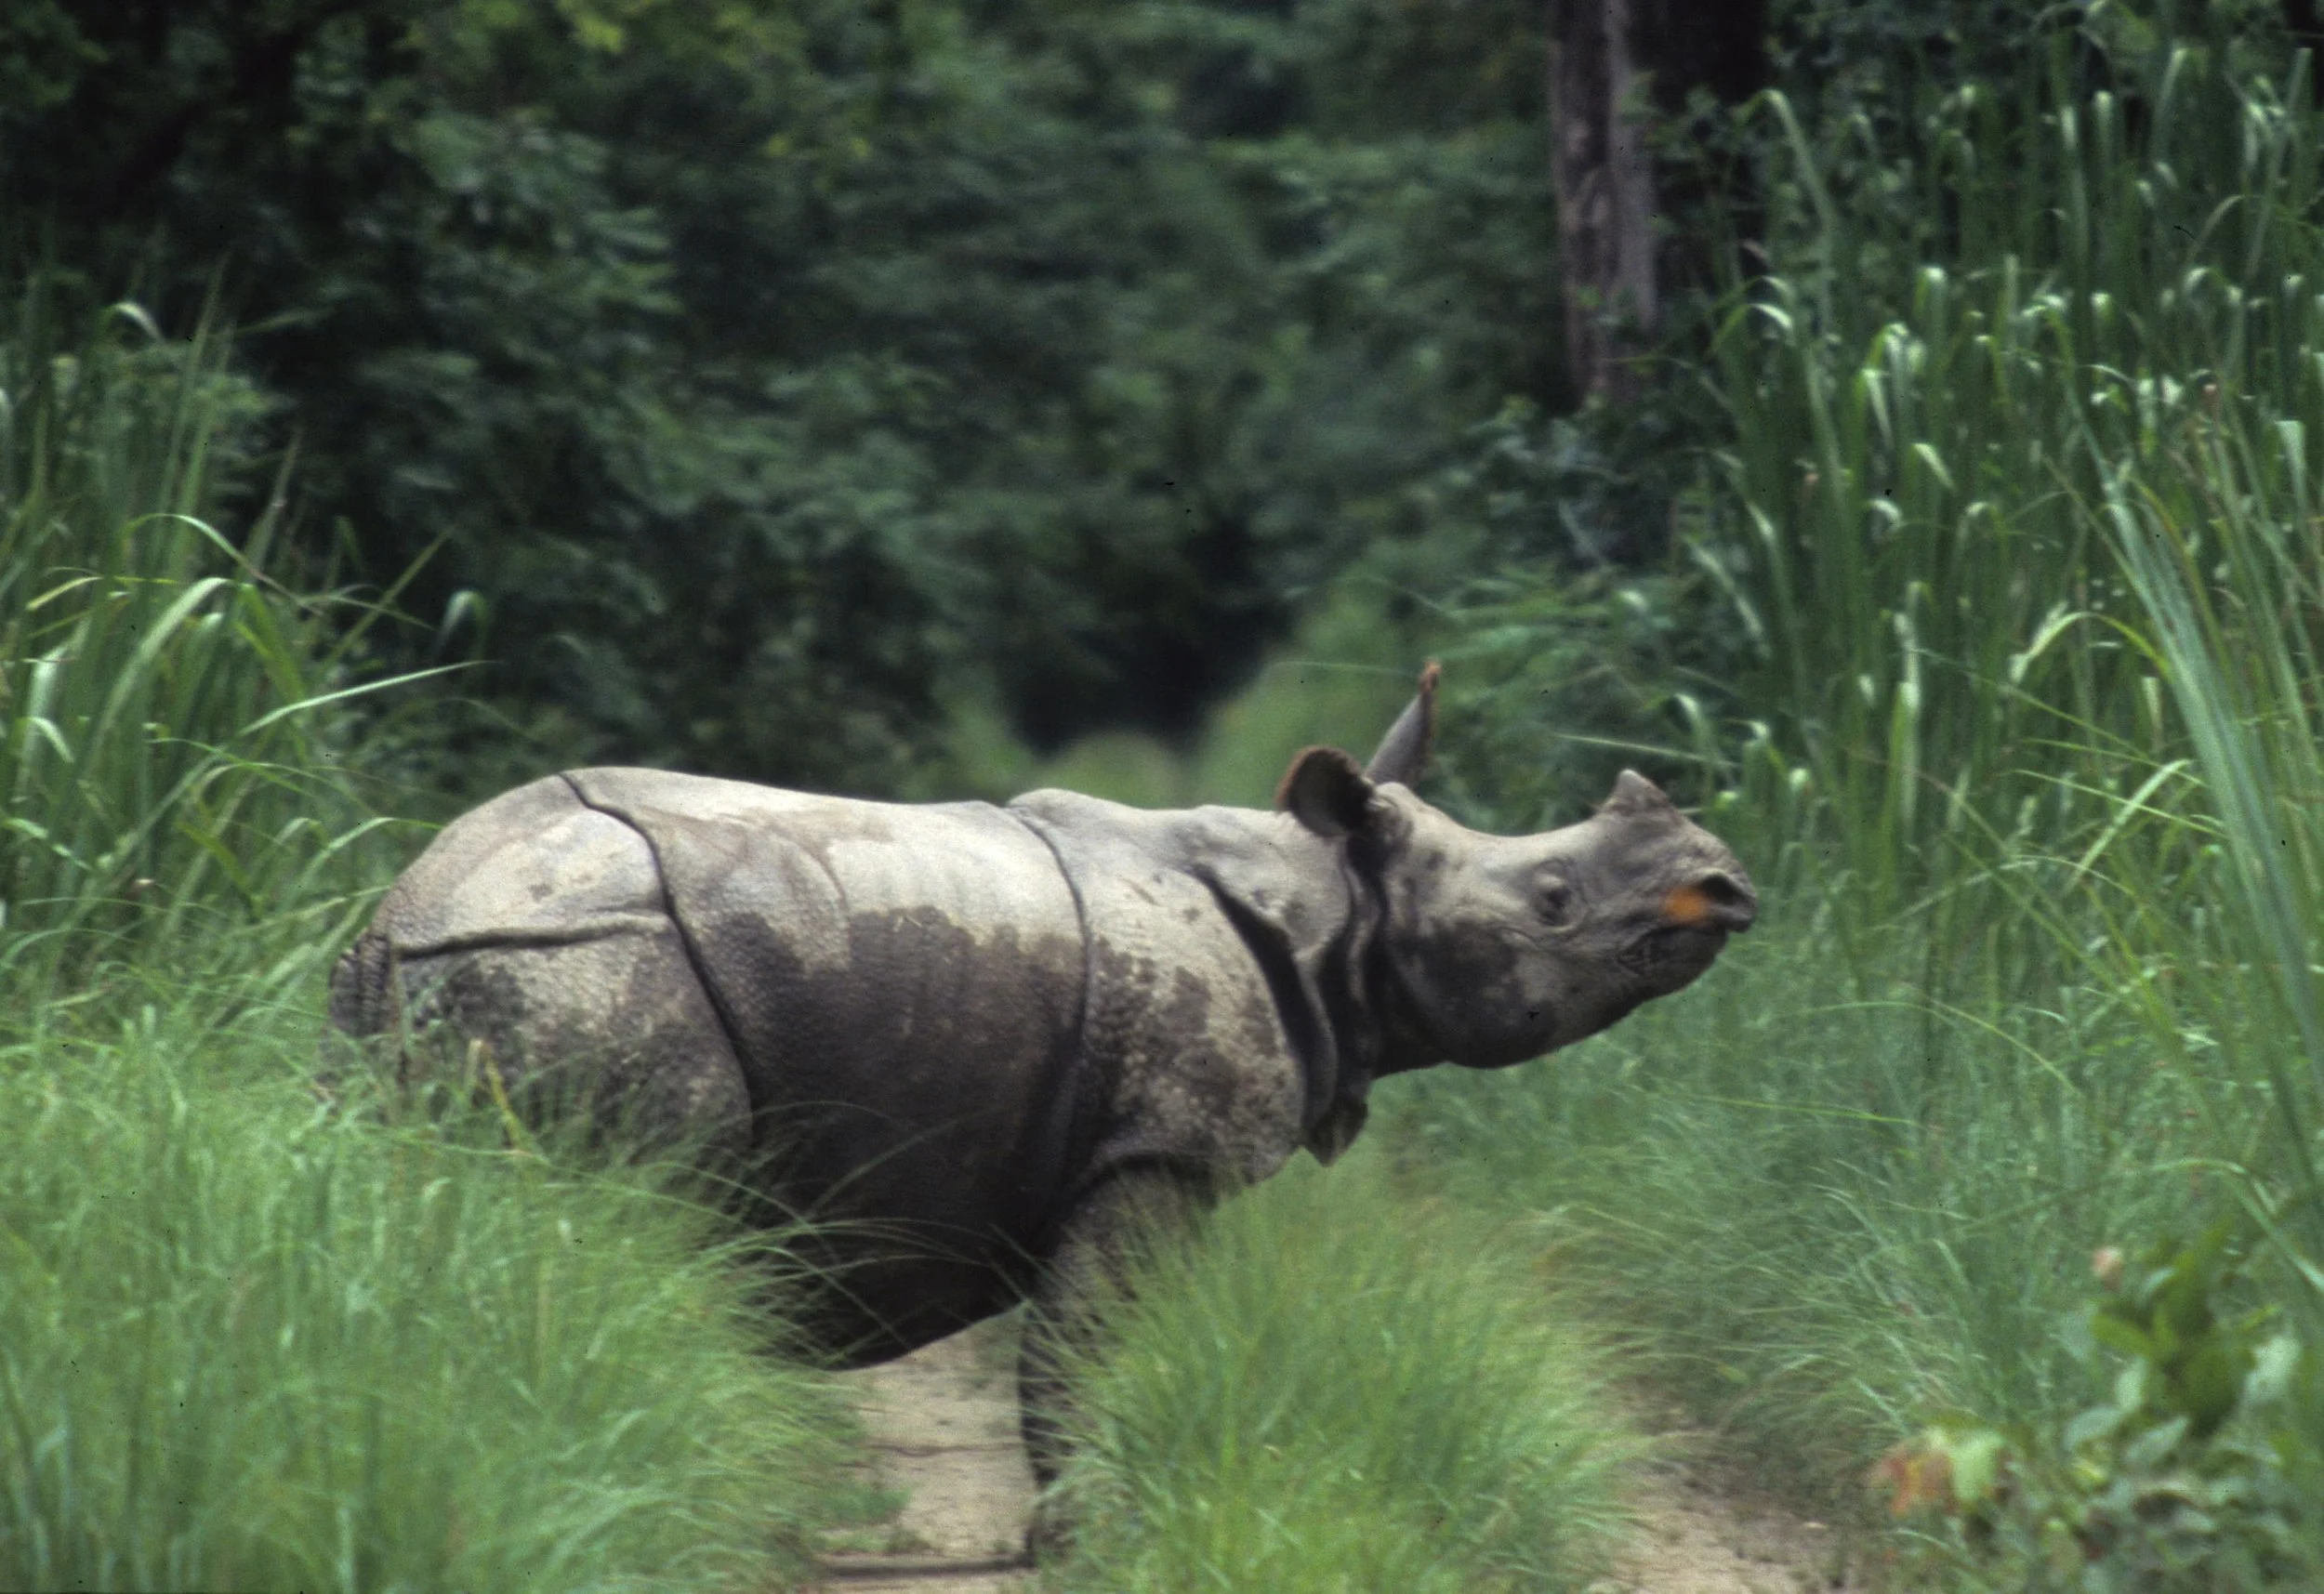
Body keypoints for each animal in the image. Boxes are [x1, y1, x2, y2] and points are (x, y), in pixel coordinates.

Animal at [328, 665, 1754, 1491]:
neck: (1336, 904)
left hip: (429, 988)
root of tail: (406, 914)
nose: (1725, 884)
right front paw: (1088, 1530)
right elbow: (1083, 1369)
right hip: (597, 961)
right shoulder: (1161, 1146)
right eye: (1553, 898)